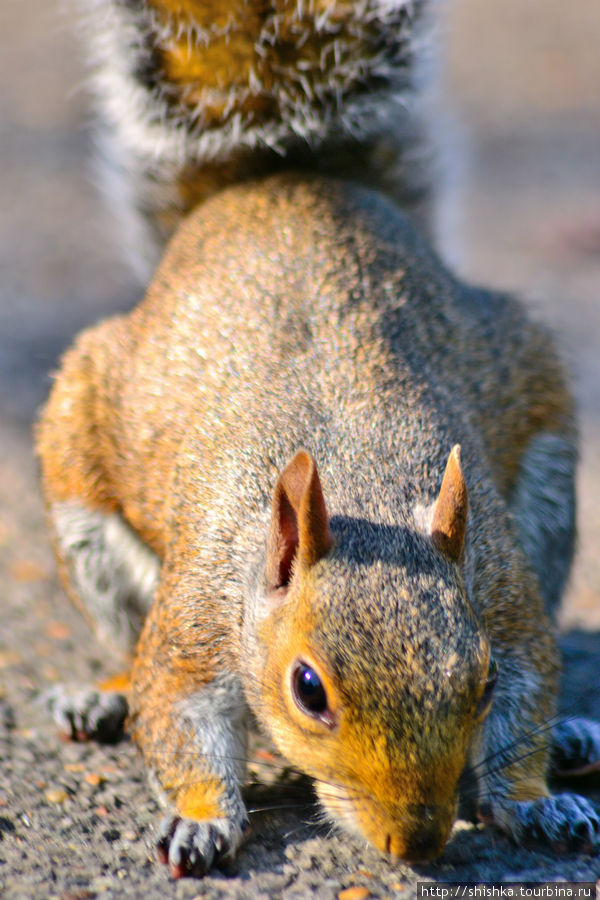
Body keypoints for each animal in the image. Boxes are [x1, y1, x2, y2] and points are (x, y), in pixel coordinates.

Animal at [37, 0, 600, 880]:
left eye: (478, 685)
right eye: (308, 689)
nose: (417, 840)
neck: (362, 485)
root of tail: (282, 181)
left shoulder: (503, 587)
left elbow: (534, 683)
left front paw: (536, 799)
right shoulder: (197, 618)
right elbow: (172, 709)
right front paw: (201, 820)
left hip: (544, 481)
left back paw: (577, 734)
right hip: (82, 501)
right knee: (124, 644)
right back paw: (102, 695)